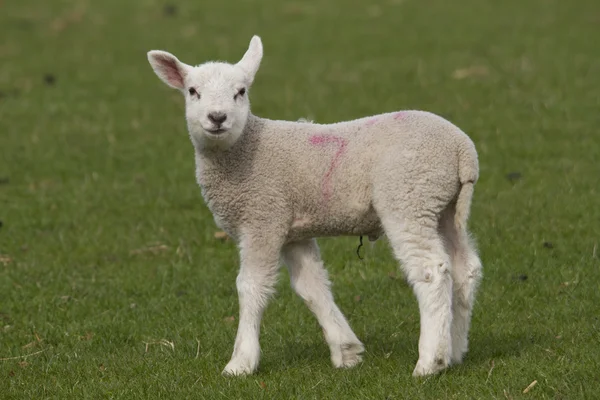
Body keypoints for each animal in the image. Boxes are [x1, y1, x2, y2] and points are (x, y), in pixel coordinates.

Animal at [148, 36, 486, 376]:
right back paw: (456, 349)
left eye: (241, 91)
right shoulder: (292, 230)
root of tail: (462, 149)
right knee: (464, 268)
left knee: (431, 270)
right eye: (193, 91)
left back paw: (431, 361)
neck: (243, 149)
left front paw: (240, 362)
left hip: (408, 197)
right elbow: (312, 287)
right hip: (443, 206)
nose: (217, 117)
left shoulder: (263, 217)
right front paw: (346, 351)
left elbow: (251, 287)